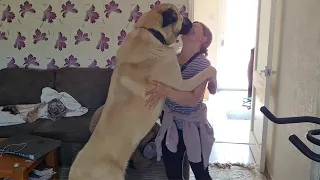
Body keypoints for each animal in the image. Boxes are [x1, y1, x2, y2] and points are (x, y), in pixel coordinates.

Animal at [69, 3, 216, 180]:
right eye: (180, 14)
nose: (193, 23)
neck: (151, 32)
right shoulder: (180, 84)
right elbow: (209, 70)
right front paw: (213, 83)